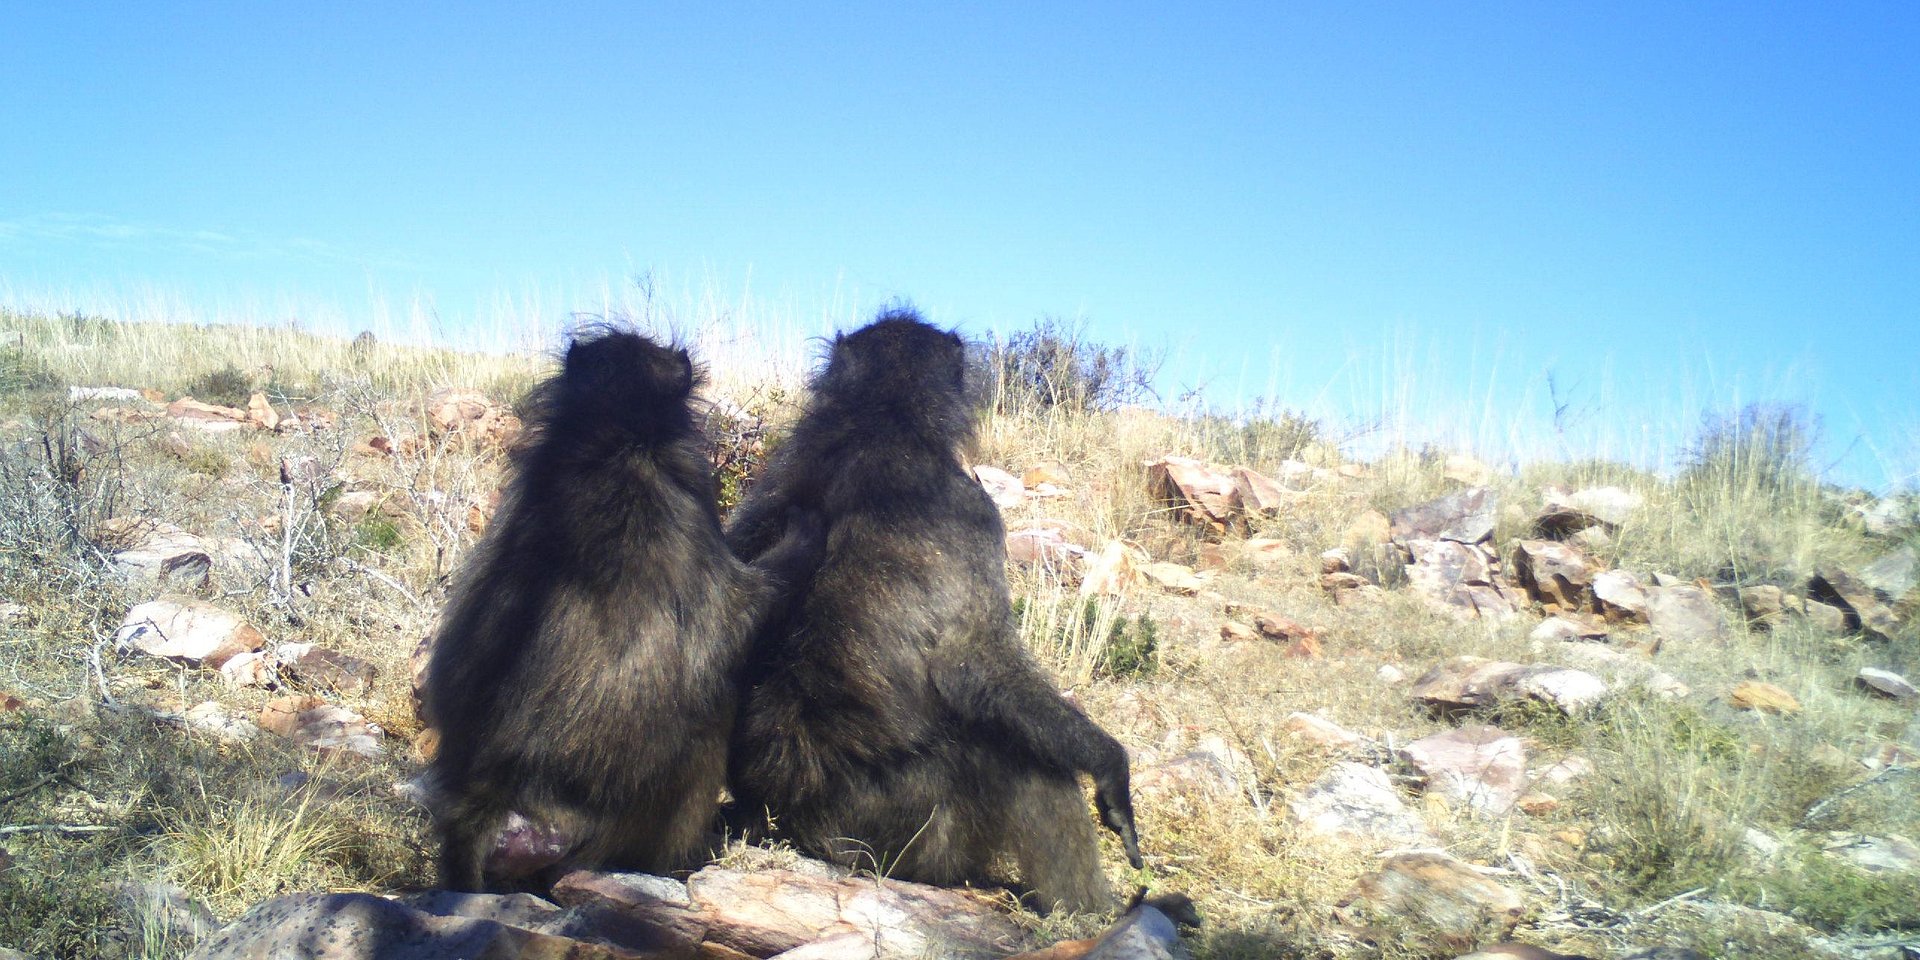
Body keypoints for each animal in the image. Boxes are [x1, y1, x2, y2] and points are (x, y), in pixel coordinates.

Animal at [724, 308, 1142, 914]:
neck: (882, 419)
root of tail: (794, 824)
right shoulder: (976, 508)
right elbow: (974, 664)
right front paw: (1110, 766)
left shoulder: (779, 472)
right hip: (908, 837)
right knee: (1026, 758)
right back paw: (1107, 914)